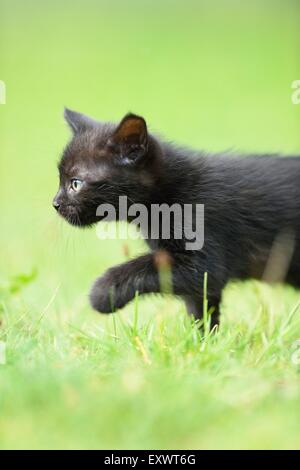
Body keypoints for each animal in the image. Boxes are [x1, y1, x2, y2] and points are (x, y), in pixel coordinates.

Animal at [54, 108, 300, 326]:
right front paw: (203, 341)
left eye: (75, 183)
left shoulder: (202, 259)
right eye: (60, 179)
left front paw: (103, 292)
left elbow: (149, 267)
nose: (55, 203)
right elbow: (200, 307)